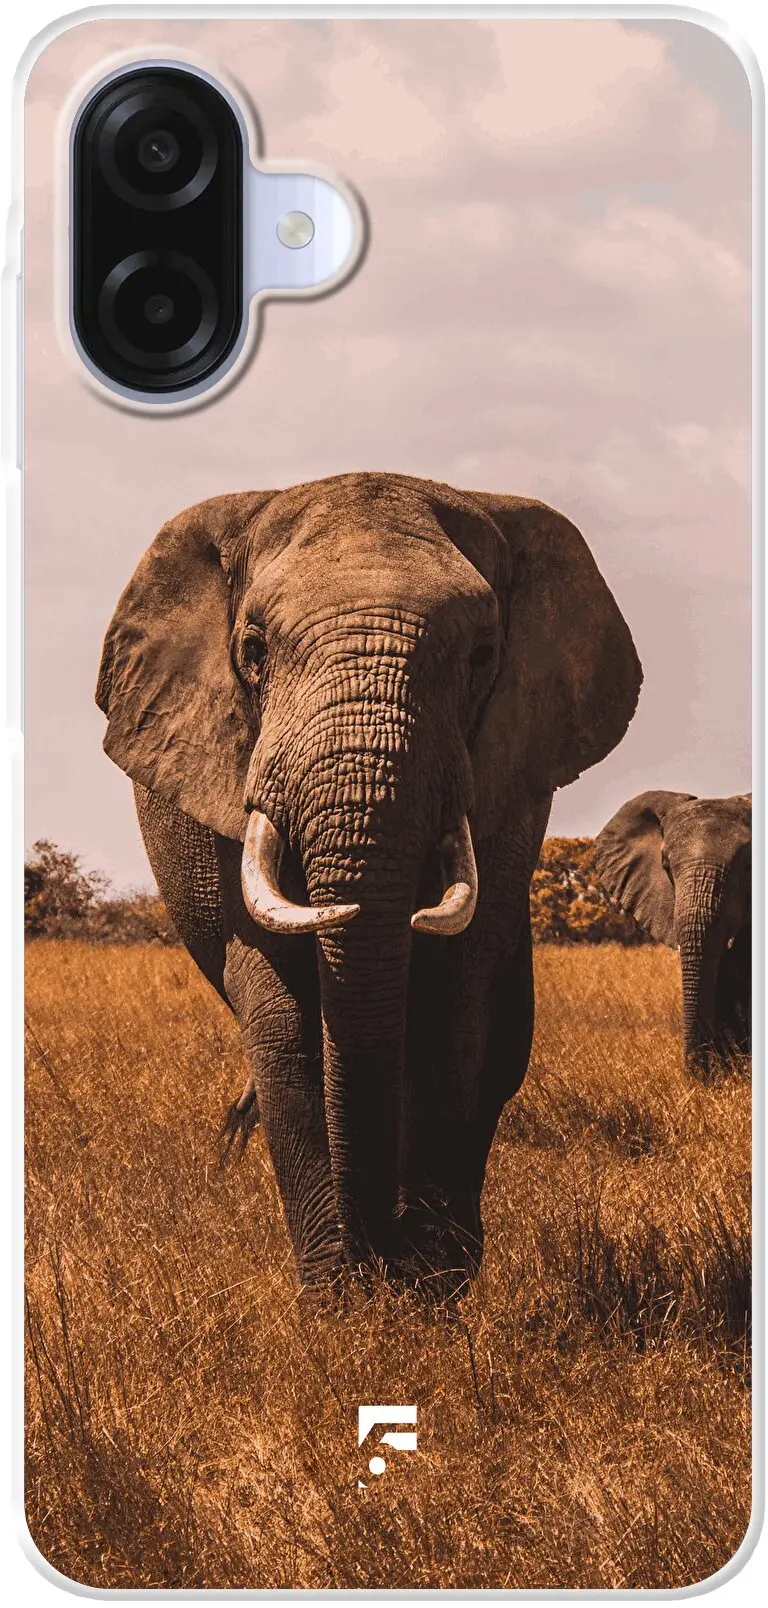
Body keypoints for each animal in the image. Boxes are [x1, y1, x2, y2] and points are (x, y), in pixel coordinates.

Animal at [97, 471, 641, 1292]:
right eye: (253, 650)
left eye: (483, 655)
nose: (380, 1252)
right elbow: (284, 1019)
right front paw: (341, 1301)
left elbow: (455, 1005)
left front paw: (428, 1291)